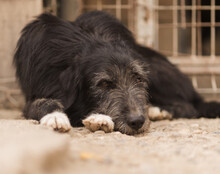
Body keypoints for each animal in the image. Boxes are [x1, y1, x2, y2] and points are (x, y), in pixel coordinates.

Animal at [13, 10, 220, 135]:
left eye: (138, 79)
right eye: (104, 83)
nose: (137, 121)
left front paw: (97, 118)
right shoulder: (35, 89)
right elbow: (40, 102)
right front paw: (55, 116)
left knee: (191, 106)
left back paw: (158, 110)